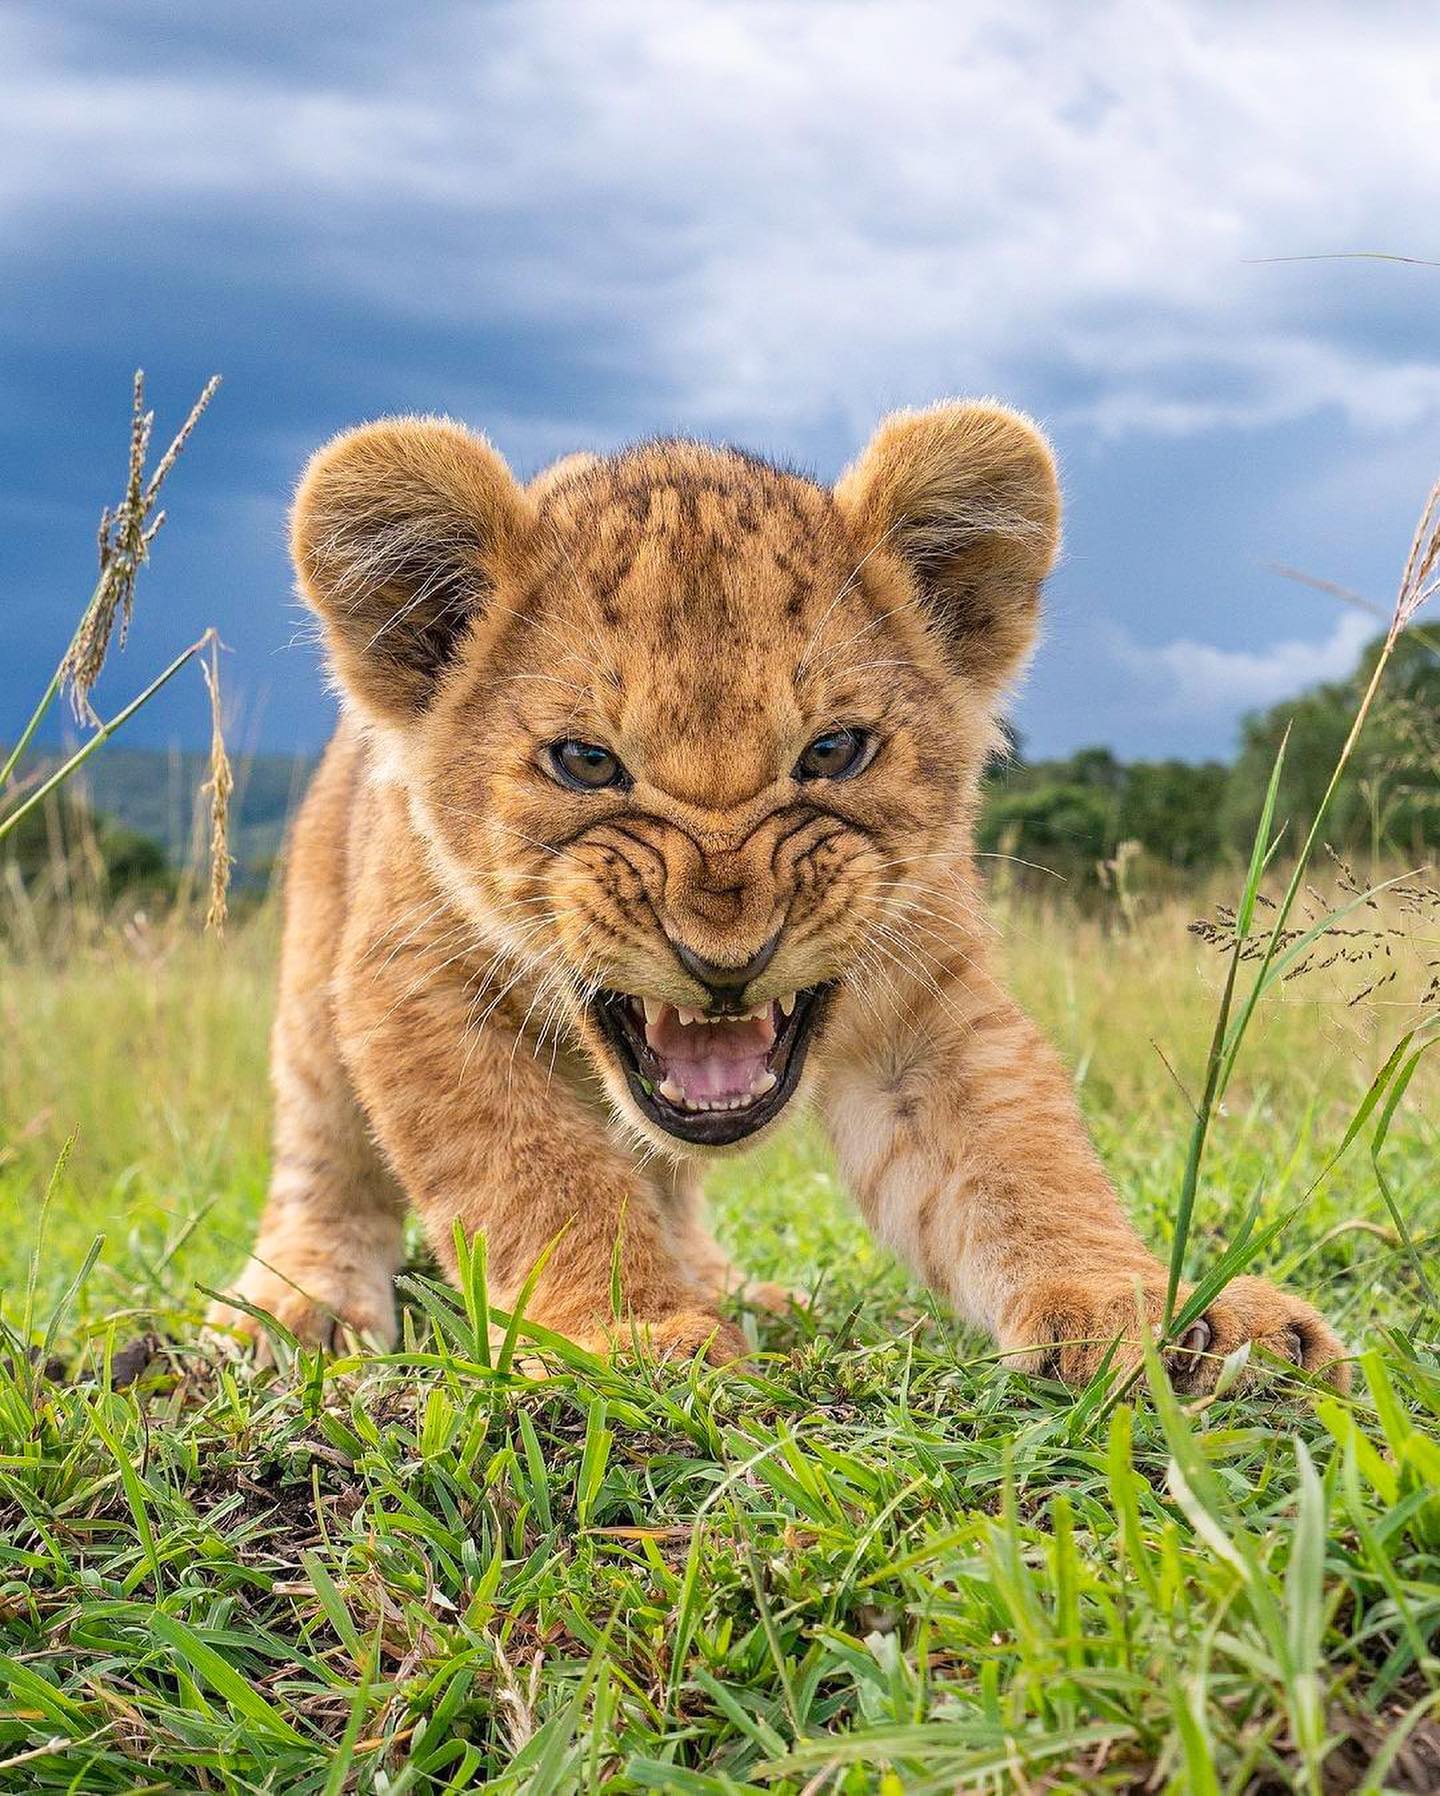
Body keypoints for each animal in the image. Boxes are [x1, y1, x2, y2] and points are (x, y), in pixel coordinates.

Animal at [208, 401, 1347, 1391]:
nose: (726, 956)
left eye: (833, 752)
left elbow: (1020, 1157)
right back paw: (297, 1306)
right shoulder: (419, 990)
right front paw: (628, 1337)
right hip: (316, 985)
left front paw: (1153, 1308)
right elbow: (540, 1176)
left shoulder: (927, 1001)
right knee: (323, 1156)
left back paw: (730, 1285)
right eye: (586, 762)